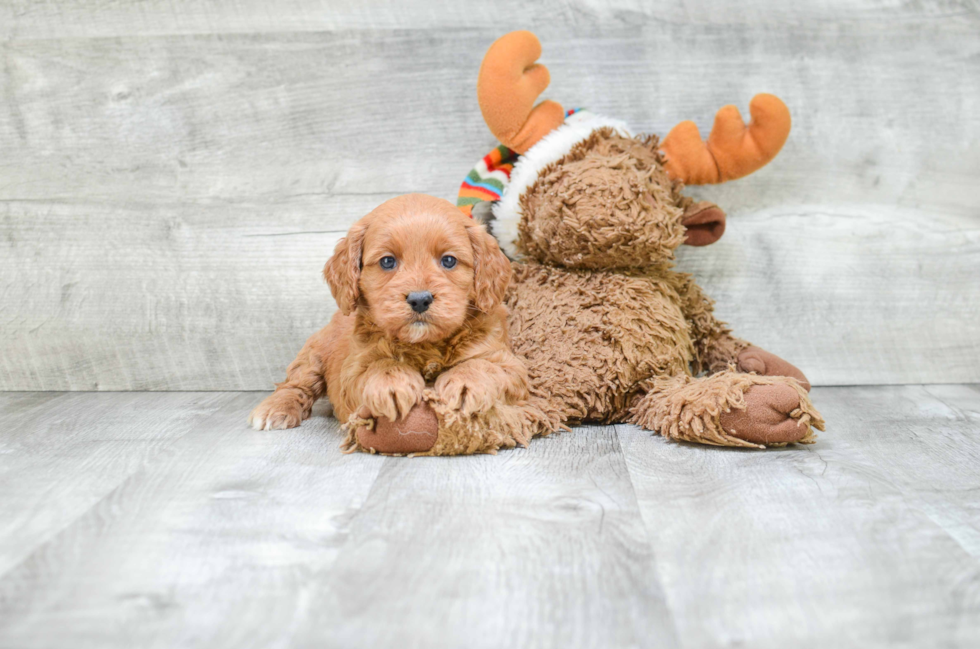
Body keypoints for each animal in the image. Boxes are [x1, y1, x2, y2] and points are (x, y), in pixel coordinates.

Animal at [249, 190, 524, 448]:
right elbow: (379, 366)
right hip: (313, 353)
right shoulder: (352, 372)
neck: (425, 346)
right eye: (388, 261)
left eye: (448, 260)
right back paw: (276, 408)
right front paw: (391, 383)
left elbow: (486, 365)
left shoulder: (510, 365)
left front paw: (465, 384)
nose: (420, 299)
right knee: (295, 384)